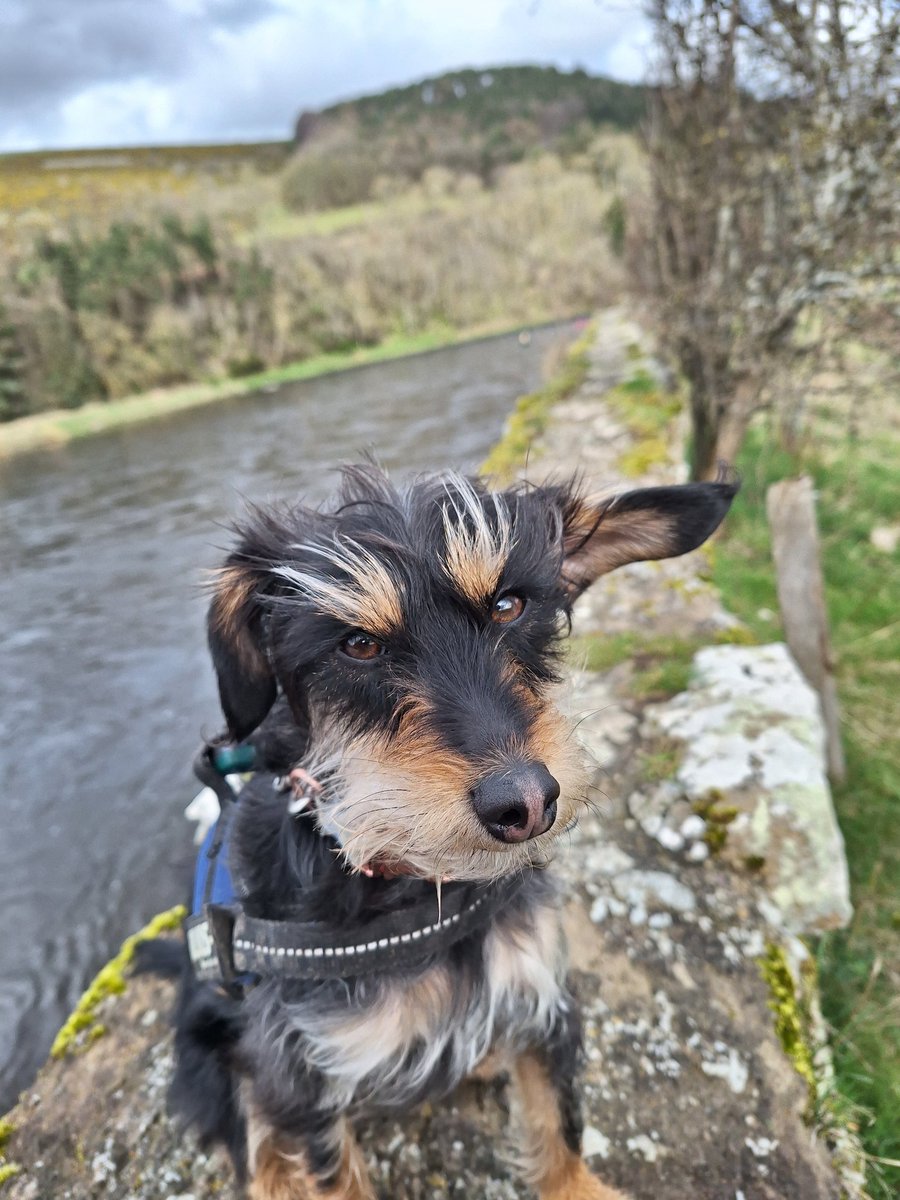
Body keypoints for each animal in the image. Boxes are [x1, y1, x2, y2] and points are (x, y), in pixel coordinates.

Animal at [160, 460, 739, 1200]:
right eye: (358, 644)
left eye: (509, 606)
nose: (526, 802)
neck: (419, 885)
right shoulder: (305, 1072)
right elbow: (324, 1165)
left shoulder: (539, 989)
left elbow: (558, 1120)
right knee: (252, 1130)